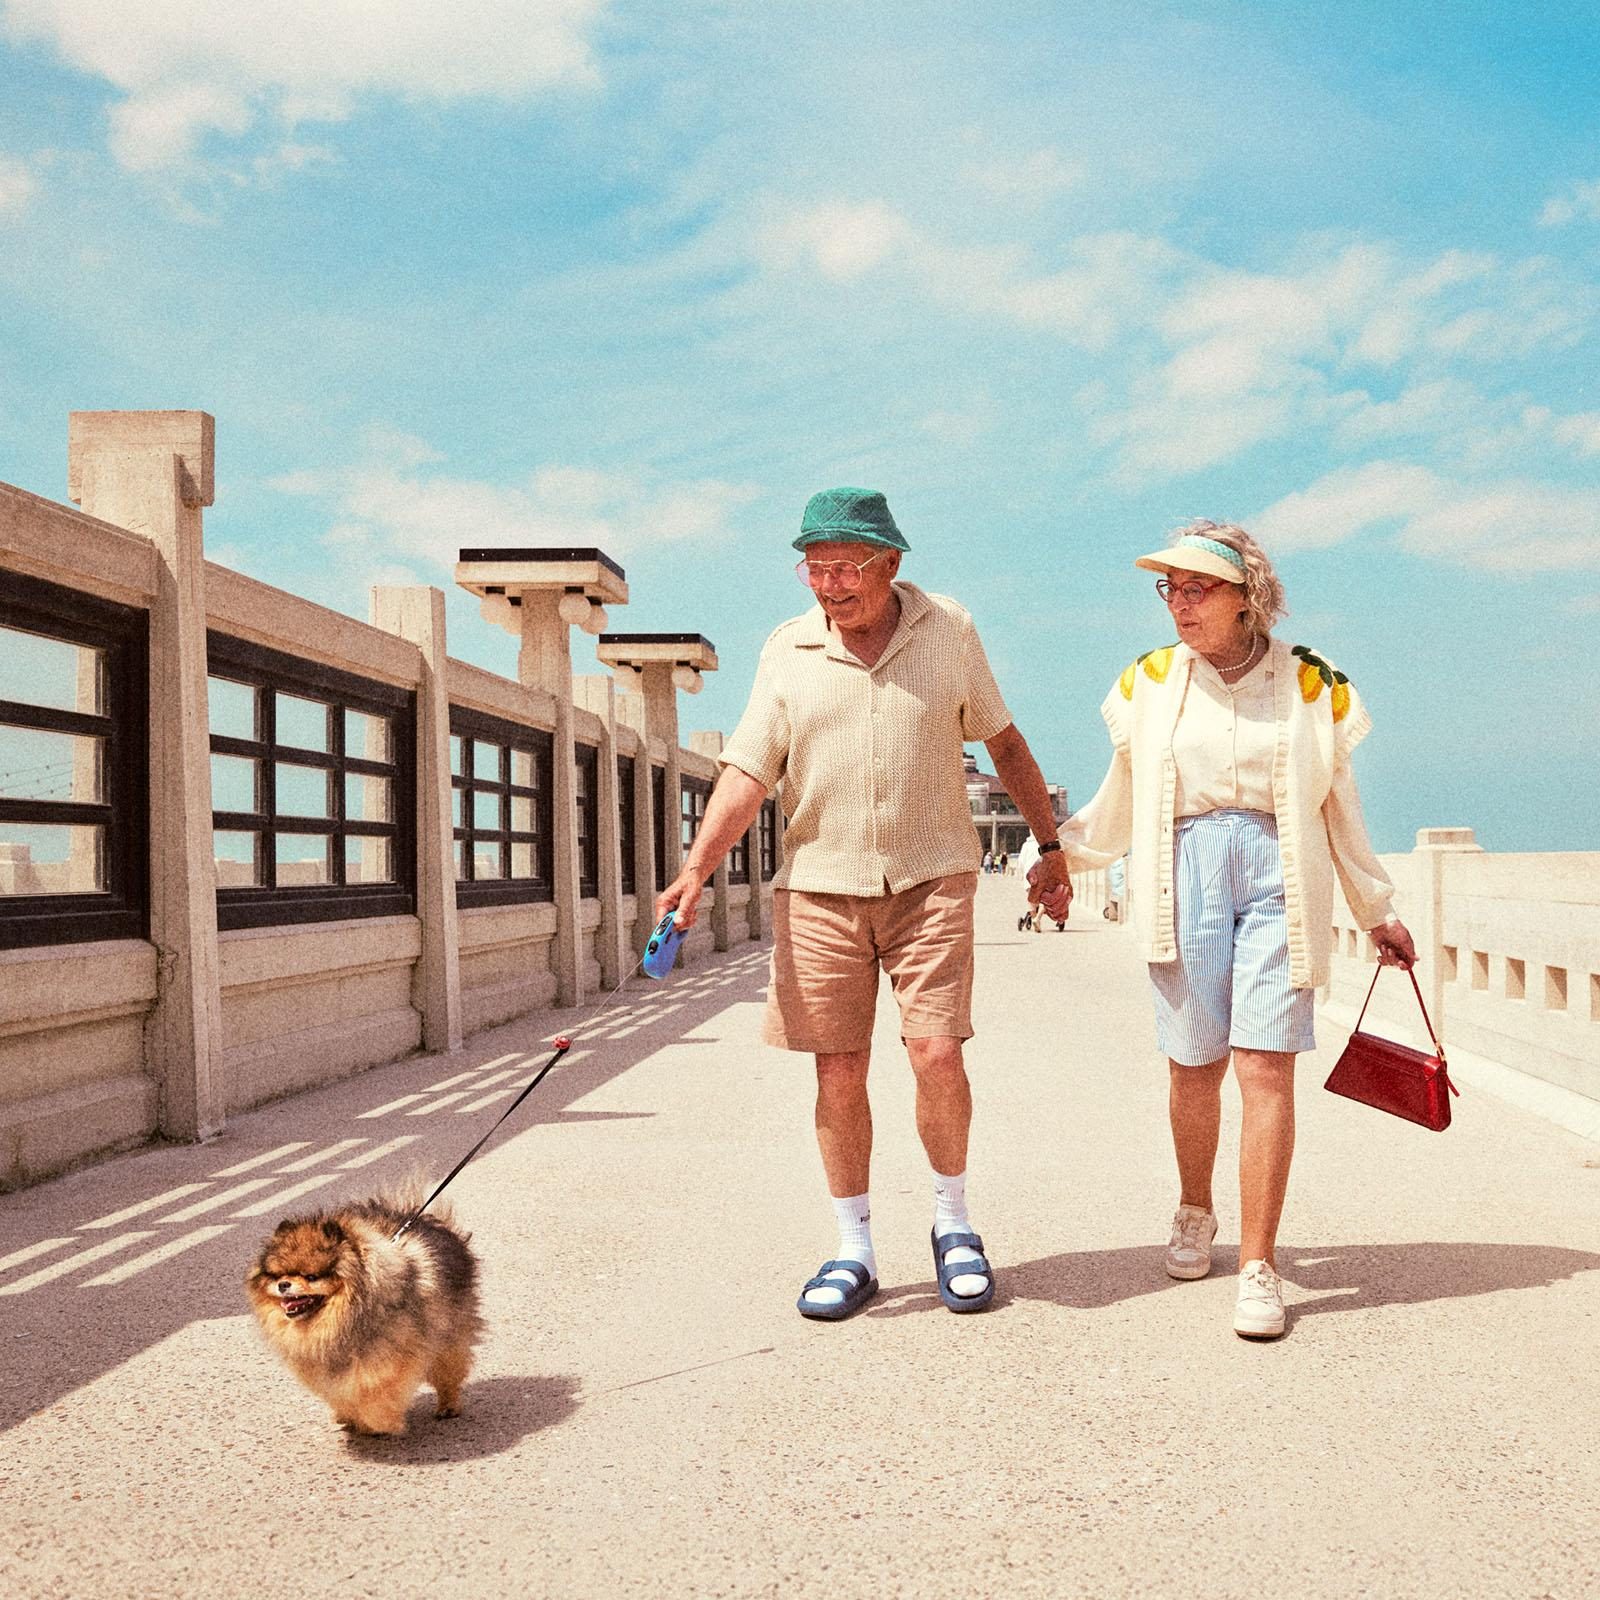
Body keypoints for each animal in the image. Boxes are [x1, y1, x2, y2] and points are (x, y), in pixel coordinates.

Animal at [243, 1190, 480, 1440]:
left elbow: (375, 1395)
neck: (340, 1319)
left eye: (311, 1277)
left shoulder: (389, 1360)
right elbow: (343, 1394)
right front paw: (350, 1416)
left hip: (447, 1337)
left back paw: (448, 1406)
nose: (284, 1285)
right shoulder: (331, 1371)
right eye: (278, 1275)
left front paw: (380, 1422)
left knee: (449, 1372)